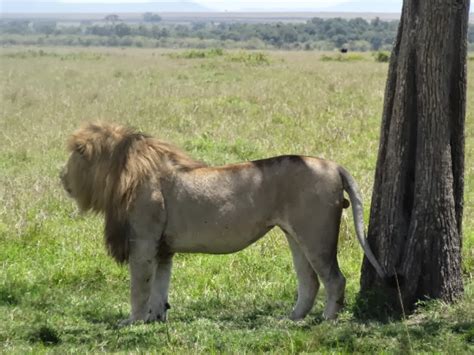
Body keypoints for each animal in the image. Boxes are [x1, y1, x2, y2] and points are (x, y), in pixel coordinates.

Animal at [61, 121, 386, 326]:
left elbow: (139, 287)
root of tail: (334, 165)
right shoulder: (163, 248)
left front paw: (132, 321)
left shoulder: (143, 243)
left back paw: (326, 320)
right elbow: (160, 287)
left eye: (74, 157)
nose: (60, 176)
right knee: (309, 281)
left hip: (316, 235)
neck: (124, 173)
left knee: (335, 279)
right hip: (296, 235)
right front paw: (156, 318)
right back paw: (291, 319)